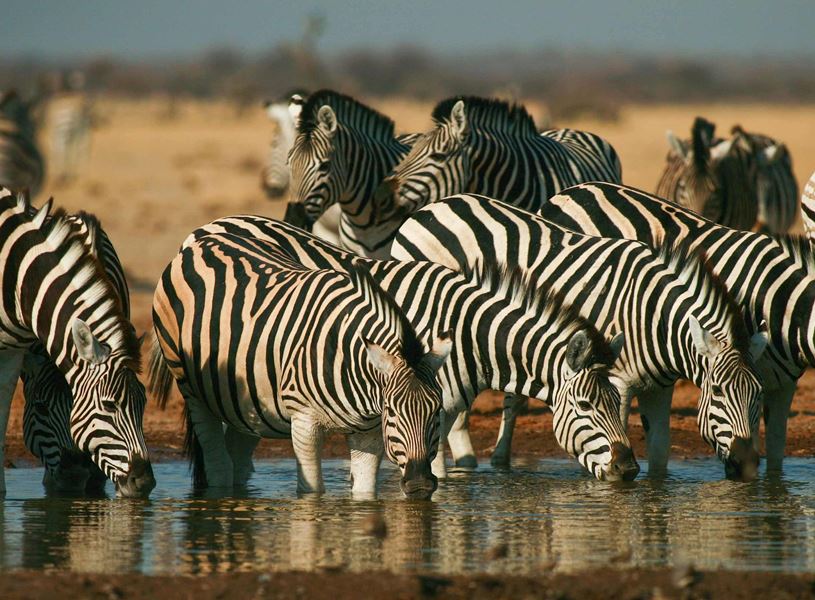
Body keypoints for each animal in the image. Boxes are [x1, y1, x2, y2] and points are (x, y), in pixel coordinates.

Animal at [150, 234, 452, 498]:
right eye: (392, 412)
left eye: (436, 410)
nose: (419, 485)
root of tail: (200, 243)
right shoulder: (304, 422)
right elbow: (312, 492)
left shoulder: (369, 434)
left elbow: (365, 491)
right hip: (191, 388)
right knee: (218, 464)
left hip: (245, 402)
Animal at [168, 215, 637, 482]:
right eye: (584, 406)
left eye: (618, 403)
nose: (630, 470)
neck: (464, 332)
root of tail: (213, 223)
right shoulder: (429, 404)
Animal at [392, 194, 768, 479]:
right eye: (717, 391)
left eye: (759, 394)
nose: (748, 466)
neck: (653, 315)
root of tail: (434, 205)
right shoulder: (619, 381)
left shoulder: (660, 387)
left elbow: (660, 454)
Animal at [539, 181, 815, 470]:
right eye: (717, 390)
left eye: (758, 391)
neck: (779, 303)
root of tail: (574, 189)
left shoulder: (782, 385)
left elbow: (775, 451)